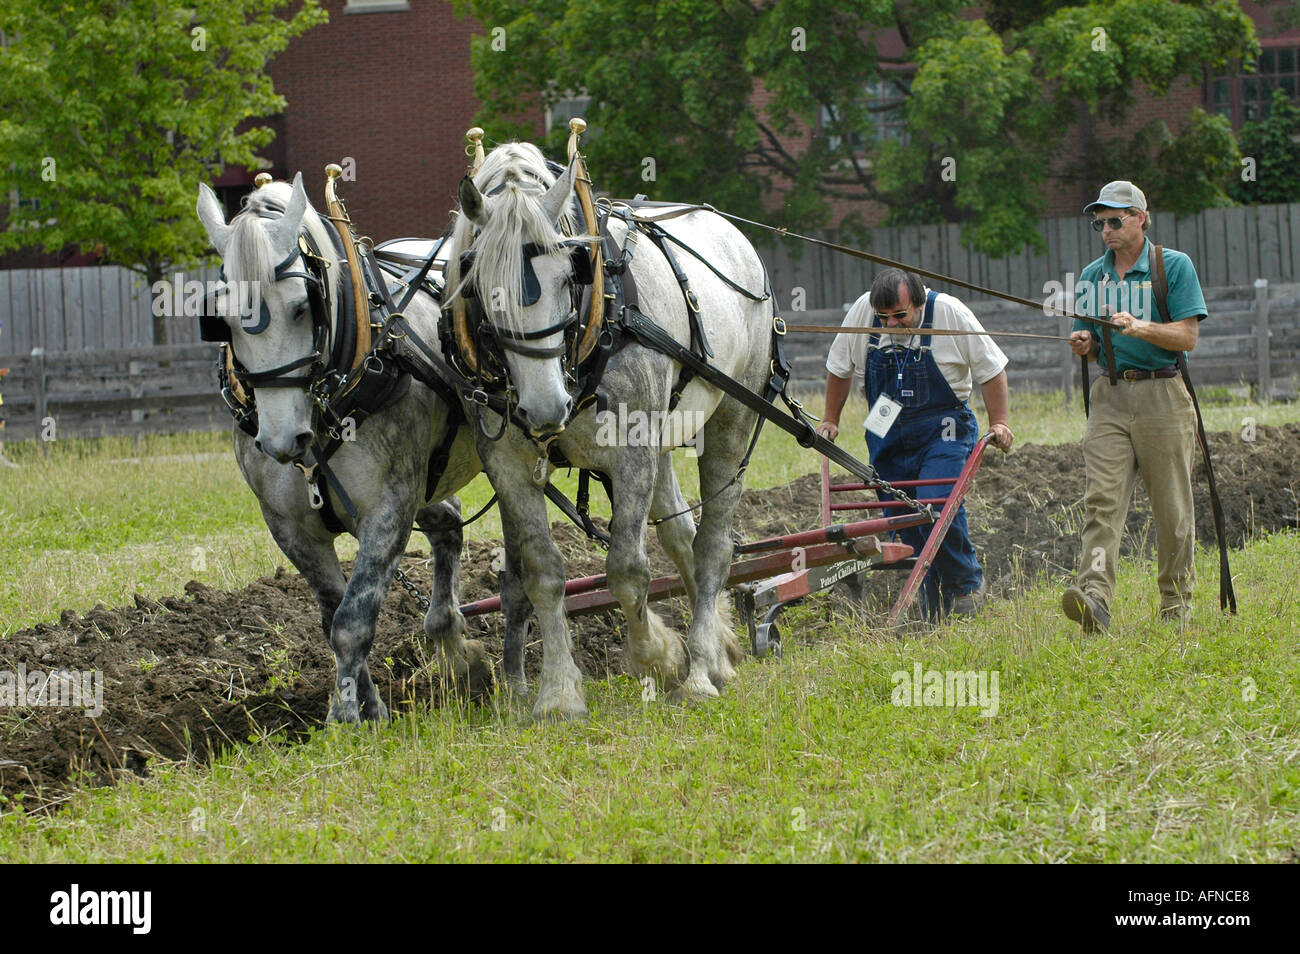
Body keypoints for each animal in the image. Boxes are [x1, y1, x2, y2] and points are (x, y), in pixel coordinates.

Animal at [197, 174, 512, 722]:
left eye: (303, 306)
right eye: (223, 318)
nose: (281, 439)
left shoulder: (388, 509)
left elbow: (353, 620)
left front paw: (343, 718)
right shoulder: (290, 527)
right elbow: (331, 617)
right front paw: (370, 707)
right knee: (448, 525)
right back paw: (454, 647)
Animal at [447, 145, 769, 722]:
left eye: (568, 275)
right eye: (480, 284)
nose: (545, 406)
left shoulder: (632, 450)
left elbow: (626, 569)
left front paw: (658, 656)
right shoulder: (506, 464)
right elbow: (544, 574)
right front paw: (558, 693)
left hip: (733, 419)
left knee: (712, 546)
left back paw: (701, 669)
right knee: (682, 537)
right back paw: (719, 651)